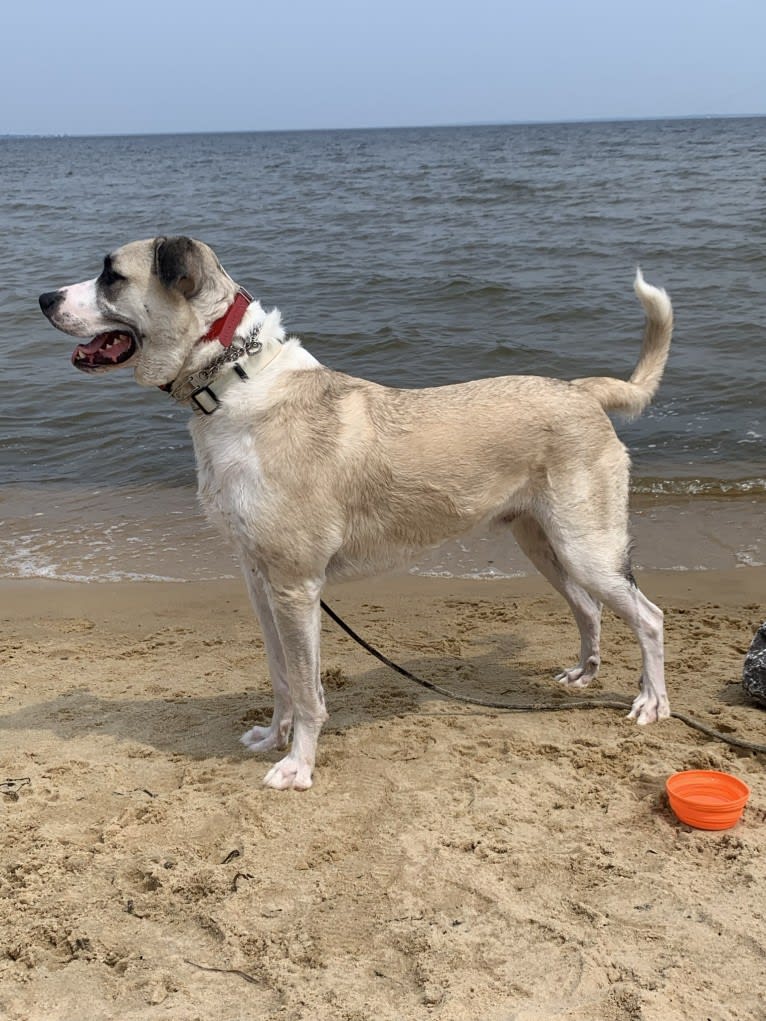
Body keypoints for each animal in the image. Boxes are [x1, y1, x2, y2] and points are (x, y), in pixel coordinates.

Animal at [39, 236, 674, 788]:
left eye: (112, 276)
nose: (44, 298)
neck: (234, 381)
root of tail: (582, 390)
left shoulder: (295, 586)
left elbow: (305, 687)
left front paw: (298, 766)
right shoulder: (259, 581)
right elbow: (281, 675)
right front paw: (274, 738)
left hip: (585, 545)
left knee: (647, 616)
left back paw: (651, 702)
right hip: (543, 543)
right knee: (589, 608)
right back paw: (583, 674)